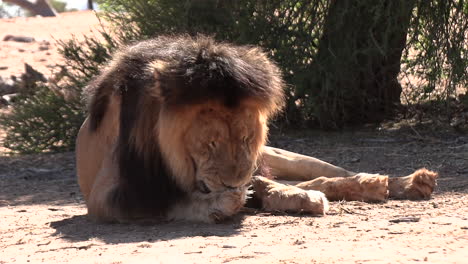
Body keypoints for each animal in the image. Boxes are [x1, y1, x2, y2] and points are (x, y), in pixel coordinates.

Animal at [77, 35, 438, 223]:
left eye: (246, 138)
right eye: (209, 143)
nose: (233, 183)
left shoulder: (253, 163)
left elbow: (267, 185)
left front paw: (287, 196)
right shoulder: (108, 195)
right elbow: (173, 202)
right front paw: (223, 203)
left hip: (281, 155)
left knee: (326, 172)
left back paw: (399, 182)